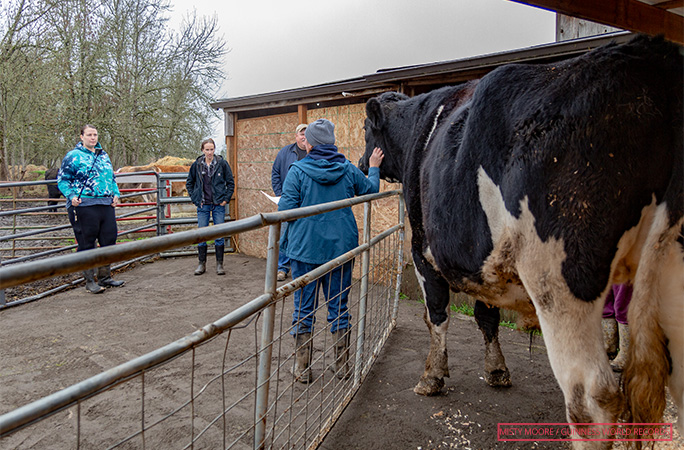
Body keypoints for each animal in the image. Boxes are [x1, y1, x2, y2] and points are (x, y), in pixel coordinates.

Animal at [360, 33, 680, 444]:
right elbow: (487, 316)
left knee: (593, 398)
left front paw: (432, 376)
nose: (360, 162)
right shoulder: (485, 265)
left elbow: (437, 317)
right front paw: (497, 370)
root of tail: (651, 55)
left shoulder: (423, 255)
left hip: (559, 281)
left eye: (366, 130)